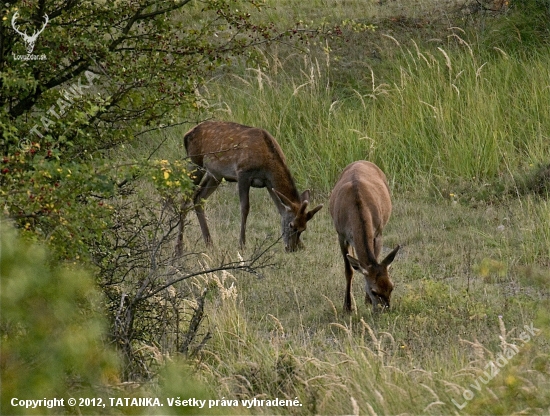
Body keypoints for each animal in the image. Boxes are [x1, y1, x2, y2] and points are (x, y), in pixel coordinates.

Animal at [177, 120, 324, 254]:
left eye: (304, 228)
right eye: (291, 225)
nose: (293, 248)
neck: (267, 161)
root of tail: (186, 134)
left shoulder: (268, 183)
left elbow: (280, 209)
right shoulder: (243, 172)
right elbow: (245, 208)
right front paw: (241, 245)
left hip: (215, 174)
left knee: (198, 197)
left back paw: (209, 244)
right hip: (195, 162)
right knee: (184, 200)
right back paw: (179, 247)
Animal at [328, 161, 402, 310]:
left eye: (392, 287)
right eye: (374, 291)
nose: (386, 309)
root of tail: (360, 161)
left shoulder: (378, 233)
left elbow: (375, 258)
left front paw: (366, 301)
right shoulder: (341, 234)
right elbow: (349, 270)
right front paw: (347, 307)